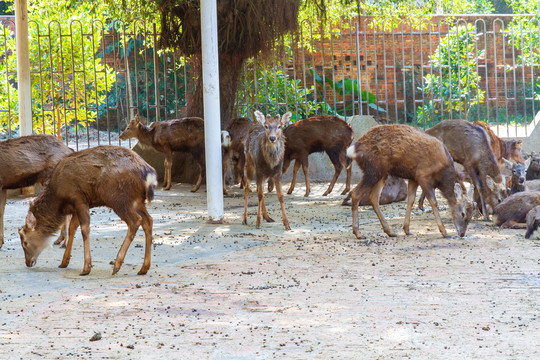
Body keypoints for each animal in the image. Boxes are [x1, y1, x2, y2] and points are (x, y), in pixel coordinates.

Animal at [19, 146, 157, 276]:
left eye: (25, 242)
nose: (28, 262)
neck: (58, 199)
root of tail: (148, 173)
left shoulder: (78, 198)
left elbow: (85, 229)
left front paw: (86, 267)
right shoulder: (78, 205)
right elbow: (72, 227)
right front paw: (64, 262)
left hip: (119, 198)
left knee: (135, 221)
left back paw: (117, 265)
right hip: (138, 200)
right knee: (148, 220)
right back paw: (144, 268)